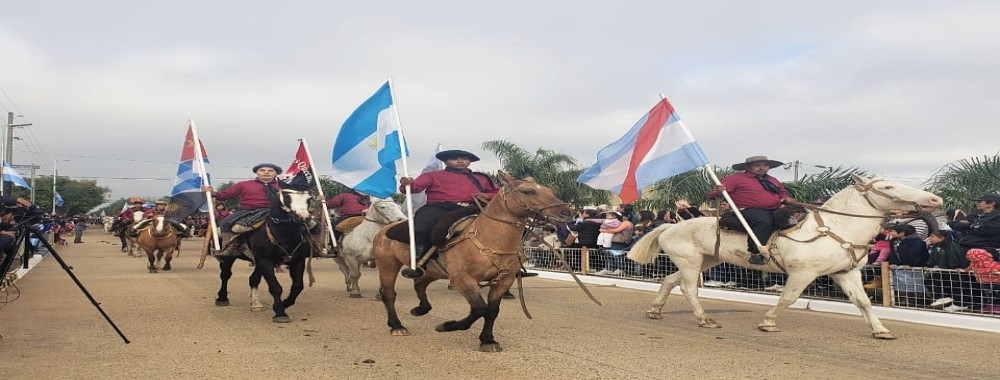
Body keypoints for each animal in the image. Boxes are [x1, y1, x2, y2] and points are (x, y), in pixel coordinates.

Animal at [214, 182, 316, 324]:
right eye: (287, 197)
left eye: (308, 198)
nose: (303, 217)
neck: (283, 234)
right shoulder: (265, 260)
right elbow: (275, 287)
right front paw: (280, 313)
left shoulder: (297, 260)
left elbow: (297, 286)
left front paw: (284, 304)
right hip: (229, 258)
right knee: (225, 275)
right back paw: (222, 298)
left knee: (253, 279)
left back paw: (256, 304)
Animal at [374, 171, 580, 350]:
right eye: (528, 191)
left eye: (550, 191)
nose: (566, 213)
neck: (491, 239)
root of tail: (384, 230)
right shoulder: (463, 279)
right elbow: (481, 309)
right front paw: (447, 326)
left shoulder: (503, 281)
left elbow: (492, 310)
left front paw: (488, 340)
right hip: (388, 264)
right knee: (389, 294)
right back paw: (396, 325)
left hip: (434, 271)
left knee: (420, 284)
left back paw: (420, 309)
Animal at [628, 175, 940, 338]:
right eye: (887, 187)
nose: (935, 200)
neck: (836, 227)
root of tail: (669, 226)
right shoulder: (803, 273)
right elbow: (788, 298)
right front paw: (768, 322)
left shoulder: (846, 273)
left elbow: (863, 302)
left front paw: (880, 330)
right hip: (692, 263)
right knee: (689, 289)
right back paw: (704, 319)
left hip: (705, 261)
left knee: (670, 281)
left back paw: (655, 310)